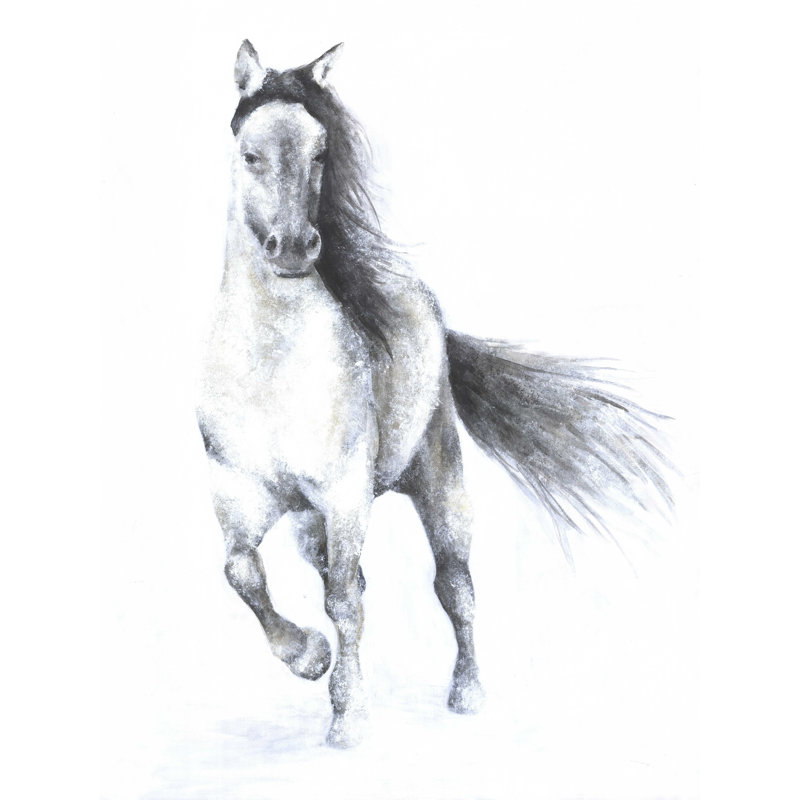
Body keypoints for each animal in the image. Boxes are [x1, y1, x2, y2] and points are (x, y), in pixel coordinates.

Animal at [197, 41, 672, 748]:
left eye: (321, 153)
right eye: (249, 154)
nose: (293, 249)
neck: (271, 369)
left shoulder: (344, 495)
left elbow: (343, 600)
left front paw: (347, 720)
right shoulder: (241, 494)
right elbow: (244, 574)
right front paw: (310, 659)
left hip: (439, 482)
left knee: (454, 587)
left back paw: (467, 695)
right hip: (311, 520)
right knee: (345, 577)